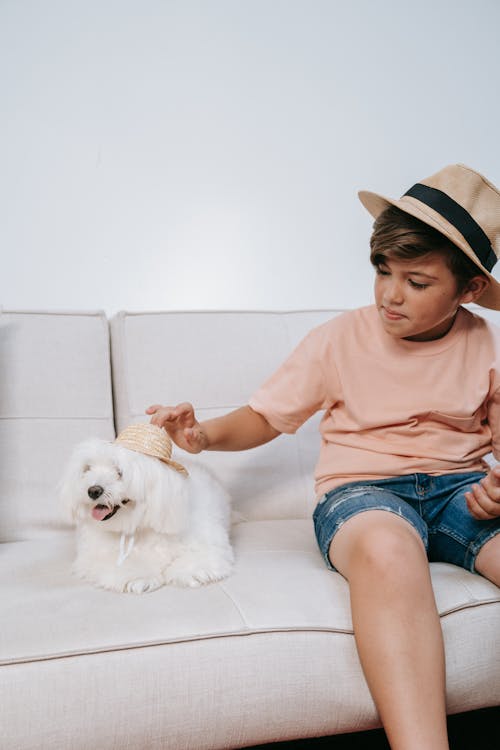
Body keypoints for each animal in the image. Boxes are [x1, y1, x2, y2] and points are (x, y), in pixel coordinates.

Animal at [57, 424, 233, 592]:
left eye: (119, 472)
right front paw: (139, 577)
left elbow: (200, 556)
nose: (93, 490)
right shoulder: (95, 555)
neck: (139, 525)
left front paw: (186, 571)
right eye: (87, 469)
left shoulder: (207, 542)